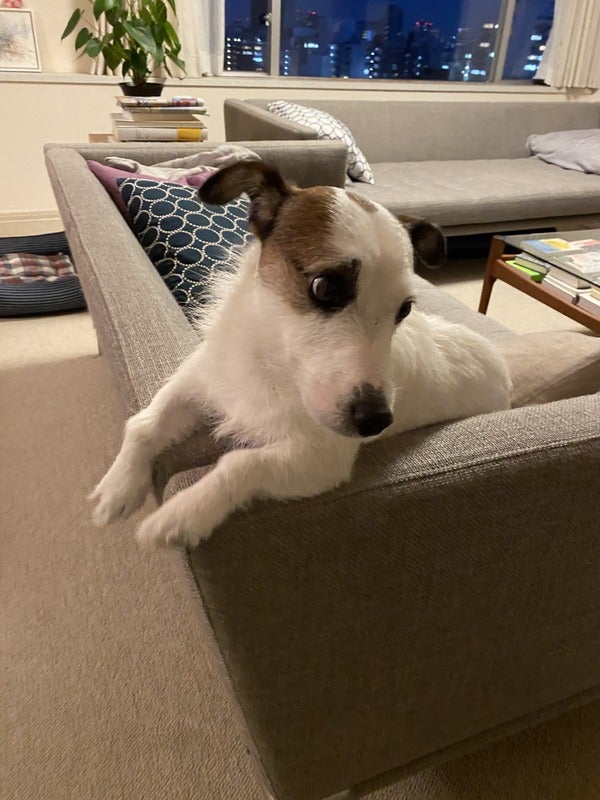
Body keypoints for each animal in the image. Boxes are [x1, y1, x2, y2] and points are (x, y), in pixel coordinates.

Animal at [90, 160, 511, 548]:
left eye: (404, 310)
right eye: (325, 287)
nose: (376, 421)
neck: (270, 363)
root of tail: (502, 365)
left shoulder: (320, 459)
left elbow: (241, 463)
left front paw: (184, 511)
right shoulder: (197, 381)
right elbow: (143, 424)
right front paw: (118, 487)